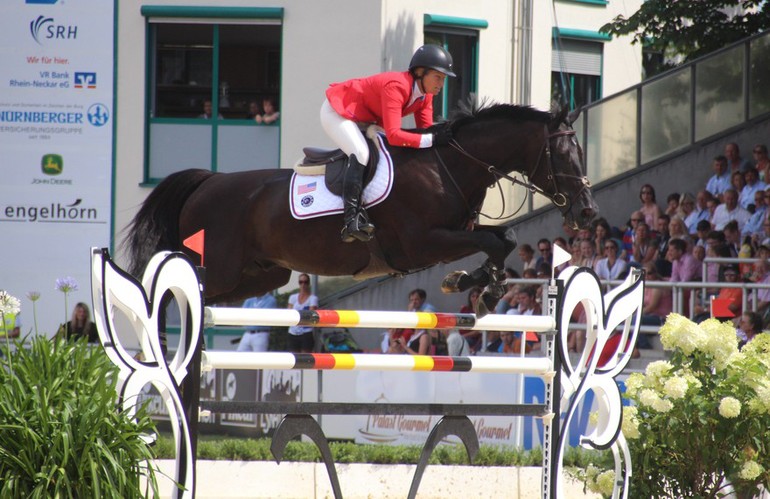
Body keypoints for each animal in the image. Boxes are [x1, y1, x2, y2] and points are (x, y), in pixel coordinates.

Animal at [124, 101, 592, 310]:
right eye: (563, 154)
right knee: (171, 290)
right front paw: (477, 285)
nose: (586, 212)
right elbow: (496, 242)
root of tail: (209, 181)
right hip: (219, 265)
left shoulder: (459, 233)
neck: (448, 165)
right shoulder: (423, 244)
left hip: (262, 274)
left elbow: (505, 238)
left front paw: (474, 283)